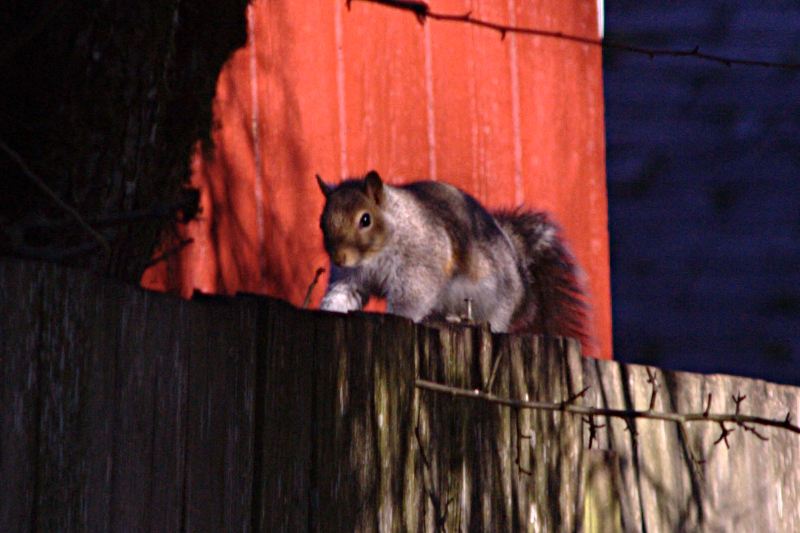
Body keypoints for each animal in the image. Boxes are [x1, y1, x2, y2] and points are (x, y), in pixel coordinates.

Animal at [315, 170, 587, 341]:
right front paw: (328, 309)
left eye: (365, 220)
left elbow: (411, 300)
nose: (339, 258)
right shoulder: (350, 277)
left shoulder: (418, 266)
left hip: (498, 305)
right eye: (321, 221)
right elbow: (342, 295)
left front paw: (395, 316)